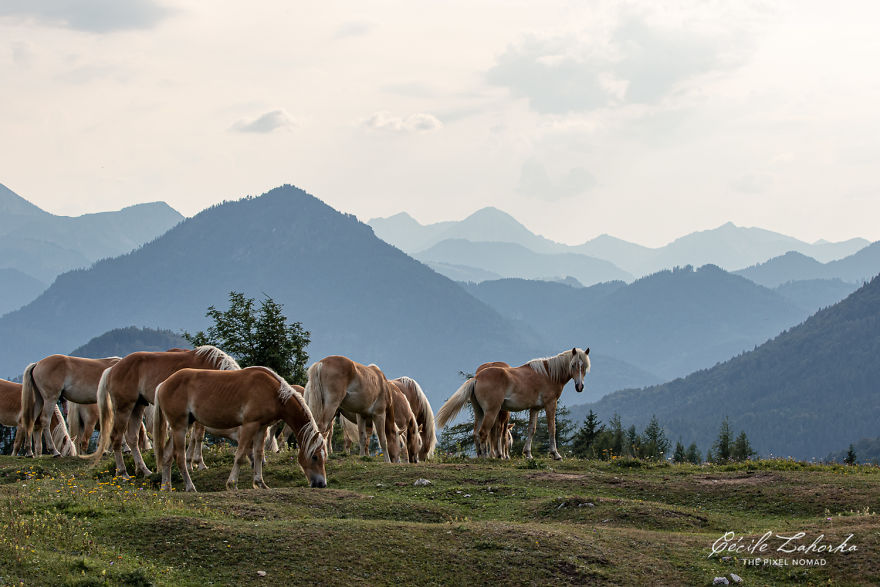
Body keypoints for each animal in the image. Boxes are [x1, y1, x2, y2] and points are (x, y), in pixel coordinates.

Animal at [86, 345, 240, 478]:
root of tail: (112, 369)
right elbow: (198, 436)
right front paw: (199, 463)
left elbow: (193, 437)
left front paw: (190, 463)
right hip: (124, 408)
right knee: (116, 437)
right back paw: (123, 473)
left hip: (137, 407)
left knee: (132, 438)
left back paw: (145, 470)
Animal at [153, 366, 326, 491]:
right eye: (315, 457)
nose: (322, 484)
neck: (273, 392)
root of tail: (163, 384)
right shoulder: (249, 425)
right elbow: (240, 455)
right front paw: (232, 484)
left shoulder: (261, 427)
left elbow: (258, 454)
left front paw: (260, 483)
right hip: (180, 427)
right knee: (179, 457)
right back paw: (190, 487)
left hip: (182, 426)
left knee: (167, 455)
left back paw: (166, 487)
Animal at [436, 348, 590, 460]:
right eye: (573, 365)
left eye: (584, 367)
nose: (580, 386)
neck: (548, 374)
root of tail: (477, 378)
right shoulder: (550, 404)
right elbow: (552, 428)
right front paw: (555, 454)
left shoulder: (535, 408)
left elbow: (531, 429)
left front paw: (528, 454)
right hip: (491, 412)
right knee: (484, 432)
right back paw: (487, 457)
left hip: (479, 412)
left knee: (476, 433)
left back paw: (481, 455)